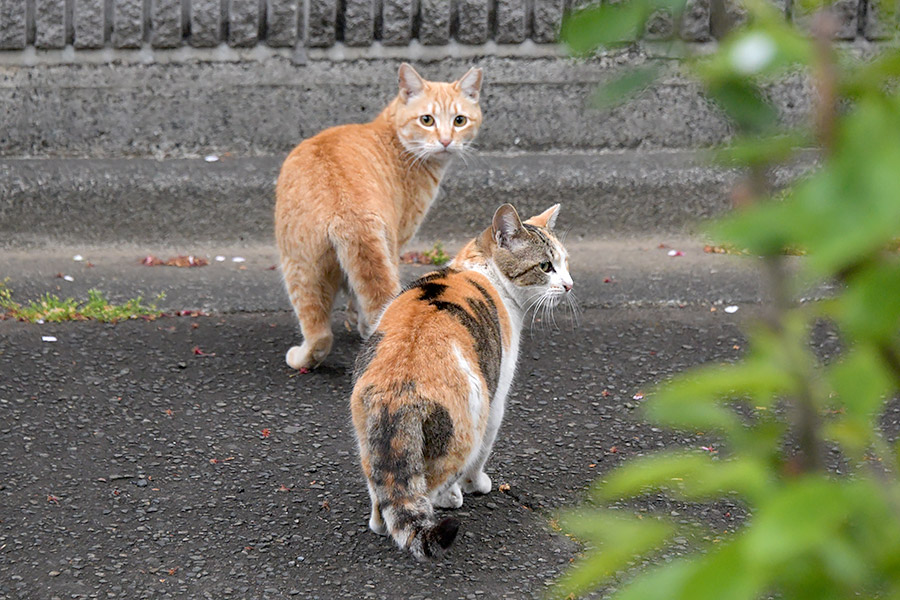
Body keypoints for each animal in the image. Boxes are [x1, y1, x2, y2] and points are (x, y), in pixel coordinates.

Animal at [274, 61, 486, 370]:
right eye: (427, 120)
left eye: (459, 121)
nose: (446, 141)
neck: (394, 138)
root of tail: (347, 212)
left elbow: (356, 292)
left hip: (304, 268)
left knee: (319, 331)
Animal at [348, 204, 572, 560]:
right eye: (545, 266)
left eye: (565, 263)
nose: (569, 285)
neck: (478, 265)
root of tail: (399, 386)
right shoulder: (497, 398)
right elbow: (482, 457)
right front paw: (474, 486)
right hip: (469, 421)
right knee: (426, 485)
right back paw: (446, 500)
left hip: (368, 439)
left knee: (383, 492)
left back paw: (381, 522)